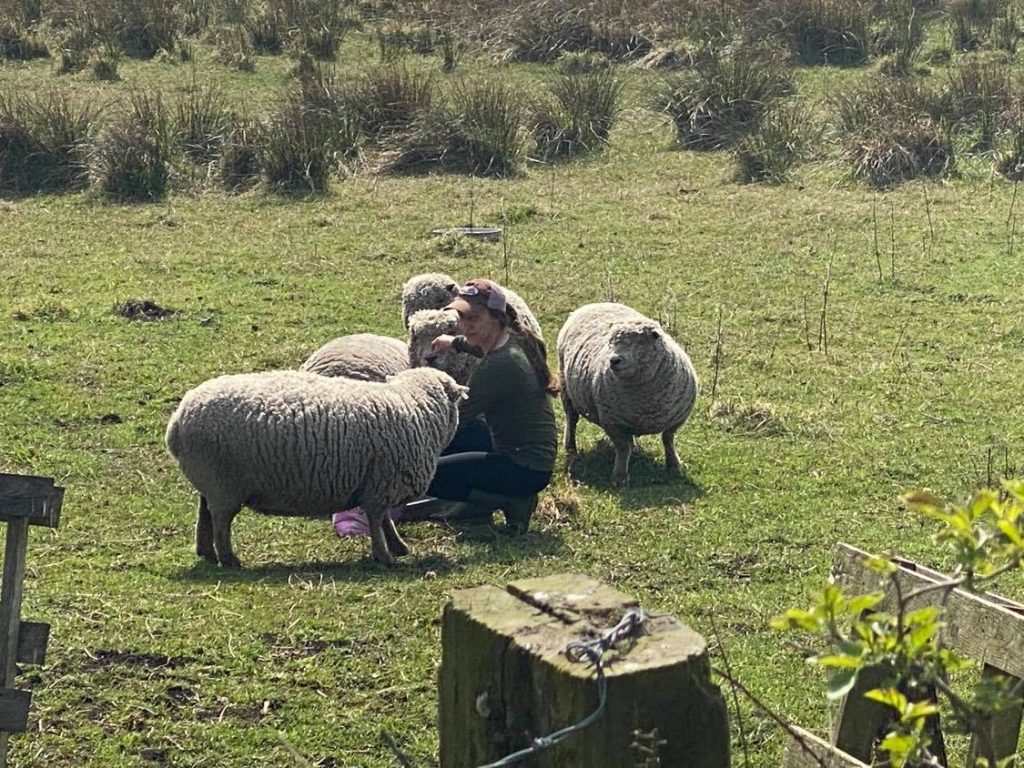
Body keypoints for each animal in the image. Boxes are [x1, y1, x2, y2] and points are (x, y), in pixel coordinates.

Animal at [164, 366, 468, 565]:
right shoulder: (381, 485)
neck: (413, 404)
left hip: (212, 481)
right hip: (223, 483)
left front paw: (398, 547)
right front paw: (385, 555)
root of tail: (177, 423)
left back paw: (206, 551)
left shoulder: (378, 485)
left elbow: (384, 520)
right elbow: (377, 520)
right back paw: (228, 558)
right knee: (220, 522)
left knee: (204, 513)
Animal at [557, 303, 700, 487]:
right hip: (565, 387)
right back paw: (570, 447)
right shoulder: (613, 422)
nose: (613, 360)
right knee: (572, 419)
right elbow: (624, 449)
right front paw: (620, 477)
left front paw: (673, 464)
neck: (644, 396)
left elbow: (668, 439)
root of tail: (592, 305)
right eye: (611, 343)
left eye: (638, 344)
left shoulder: (676, 418)